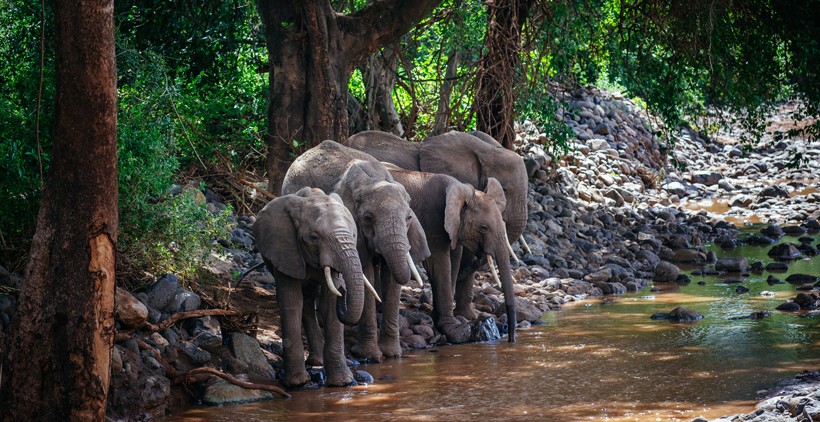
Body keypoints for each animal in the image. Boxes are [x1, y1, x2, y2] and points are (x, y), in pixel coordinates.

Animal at [253, 188, 372, 390]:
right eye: (314, 237)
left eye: (354, 235)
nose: (344, 291)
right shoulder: (285, 250)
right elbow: (291, 303)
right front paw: (297, 383)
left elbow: (329, 305)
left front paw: (342, 383)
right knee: (304, 301)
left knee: (312, 299)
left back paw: (317, 362)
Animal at [282, 140, 430, 362]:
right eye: (367, 218)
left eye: (408, 218)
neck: (375, 180)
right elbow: (365, 271)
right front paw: (371, 356)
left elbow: (391, 277)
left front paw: (393, 354)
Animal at [388, 166, 516, 342]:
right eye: (483, 228)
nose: (511, 339)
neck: (463, 190)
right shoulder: (432, 219)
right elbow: (439, 262)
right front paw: (456, 331)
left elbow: (454, 262)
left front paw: (438, 320)